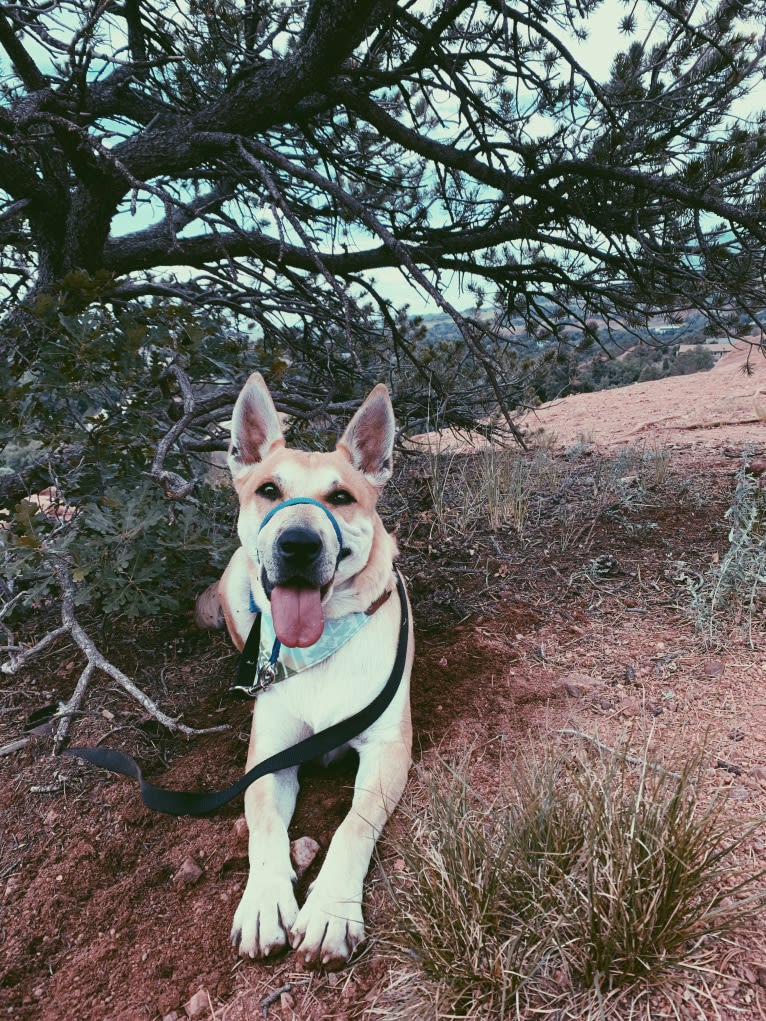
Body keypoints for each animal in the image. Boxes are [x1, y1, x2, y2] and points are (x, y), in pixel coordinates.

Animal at [198, 373, 414, 963]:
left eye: (341, 498)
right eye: (269, 490)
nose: (297, 544)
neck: (319, 648)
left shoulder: (387, 748)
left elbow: (352, 827)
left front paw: (330, 911)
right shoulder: (269, 759)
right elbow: (264, 827)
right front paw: (264, 902)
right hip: (234, 587)